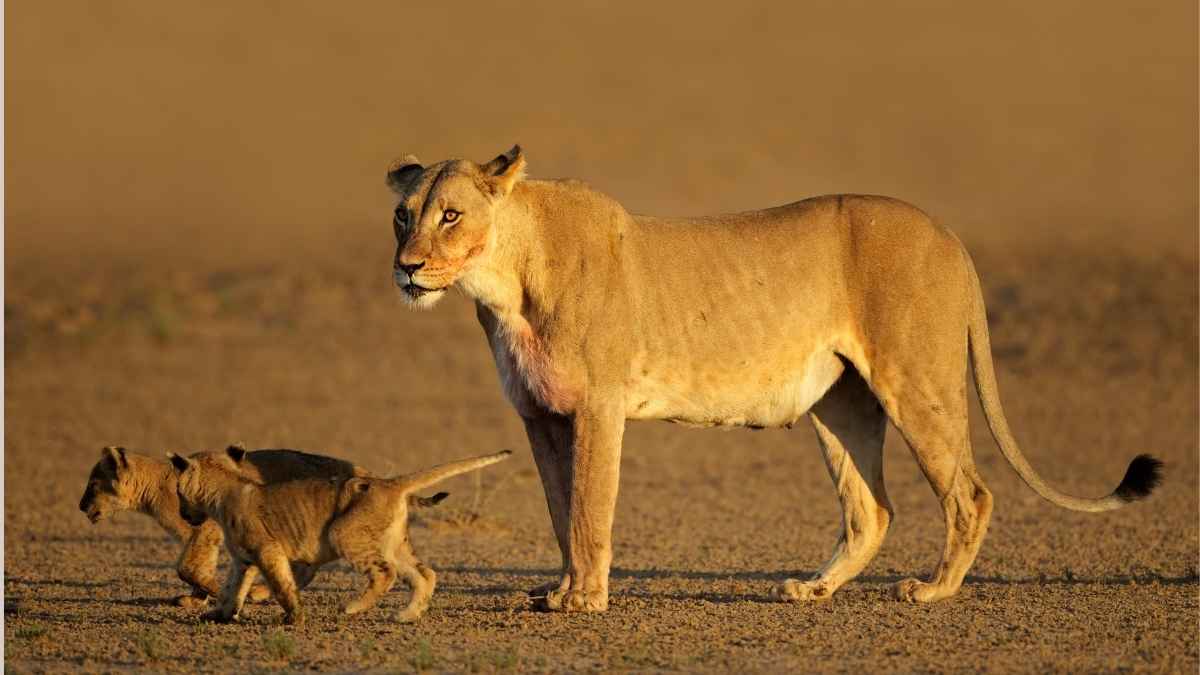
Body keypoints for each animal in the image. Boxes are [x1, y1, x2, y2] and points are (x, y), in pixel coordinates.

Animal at [78, 445, 446, 608]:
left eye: (93, 484)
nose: (81, 506)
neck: (155, 485)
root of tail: (364, 471)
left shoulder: (204, 528)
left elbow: (187, 566)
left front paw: (210, 591)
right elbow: (196, 567)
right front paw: (198, 597)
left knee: (305, 570)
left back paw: (260, 593)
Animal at [169, 448, 511, 625]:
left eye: (178, 492)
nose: (184, 514)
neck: (226, 489)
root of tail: (389, 483)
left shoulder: (267, 549)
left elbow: (281, 584)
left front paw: (293, 617)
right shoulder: (244, 559)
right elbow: (232, 588)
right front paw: (220, 614)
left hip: (342, 533)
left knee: (384, 574)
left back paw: (353, 608)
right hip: (393, 542)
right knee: (425, 574)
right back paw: (407, 615)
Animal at [383, 145, 1163, 611]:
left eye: (450, 214)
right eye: (401, 215)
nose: (407, 267)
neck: (504, 283)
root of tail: (948, 235)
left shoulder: (600, 406)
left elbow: (589, 509)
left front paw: (586, 600)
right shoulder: (541, 414)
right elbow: (558, 510)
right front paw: (560, 589)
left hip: (916, 381)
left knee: (970, 492)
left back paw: (933, 590)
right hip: (841, 404)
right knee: (872, 508)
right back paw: (814, 588)